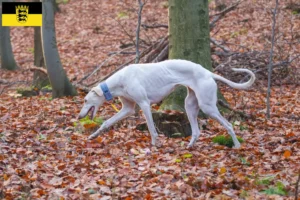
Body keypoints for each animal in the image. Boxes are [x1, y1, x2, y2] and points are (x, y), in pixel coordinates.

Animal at [78, 59, 255, 148]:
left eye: (86, 100)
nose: (79, 117)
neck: (120, 81)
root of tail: (208, 72)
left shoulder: (144, 104)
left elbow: (151, 128)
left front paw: (155, 144)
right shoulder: (127, 109)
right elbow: (106, 123)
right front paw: (93, 135)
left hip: (208, 107)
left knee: (229, 125)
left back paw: (237, 145)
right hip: (190, 106)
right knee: (197, 131)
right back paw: (189, 146)